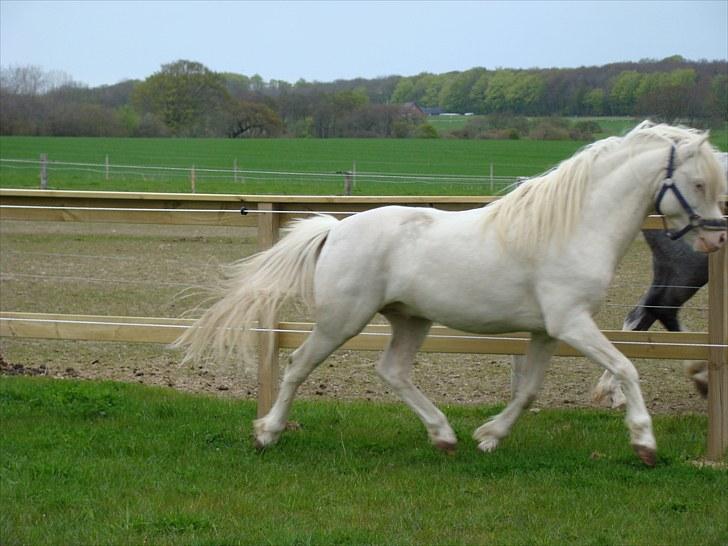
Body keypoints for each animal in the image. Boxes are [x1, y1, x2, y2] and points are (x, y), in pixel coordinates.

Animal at [593, 152, 727, 408]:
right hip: (689, 267)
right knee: (660, 306)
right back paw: (701, 374)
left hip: (669, 268)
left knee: (640, 316)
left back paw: (614, 391)